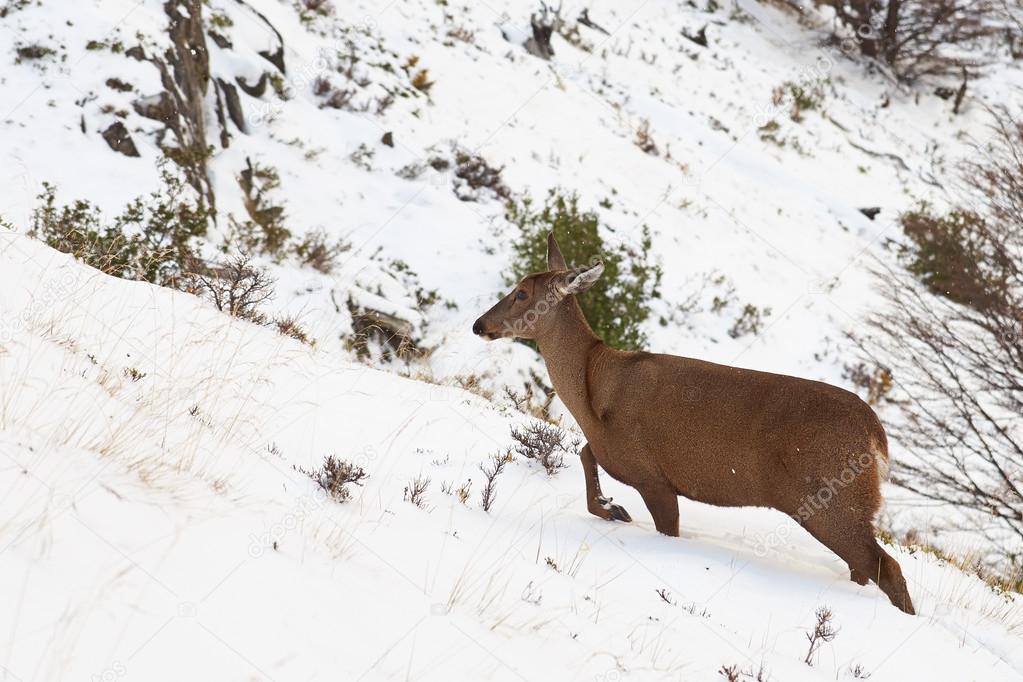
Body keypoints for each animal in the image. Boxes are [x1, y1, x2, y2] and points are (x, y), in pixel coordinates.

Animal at [474, 233, 916, 613]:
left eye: (522, 293)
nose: (479, 324)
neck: (593, 392)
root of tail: (877, 439)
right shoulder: (615, 452)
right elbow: (586, 456)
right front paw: (614, 508)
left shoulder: (653, 475)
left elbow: (663, 524)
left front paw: (617, 510)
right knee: (864, 569)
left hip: (828, 499)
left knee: (887, 568)